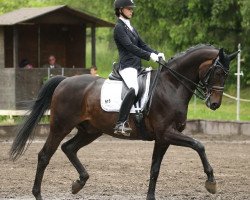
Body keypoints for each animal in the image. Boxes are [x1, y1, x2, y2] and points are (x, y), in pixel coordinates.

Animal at [10, 44, 237, 200]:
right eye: (218, 72)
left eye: (227, 74)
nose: (214, 104)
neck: (172, 85)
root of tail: (65, 80)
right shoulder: (167, 133)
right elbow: (199, 145)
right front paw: (211, 182)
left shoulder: (162, 138)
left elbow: (155, 168)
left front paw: (150, 196)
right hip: (60, 126)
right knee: (44, 156)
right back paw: (39, 193)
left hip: (90, 131)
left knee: (69, 148)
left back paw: (79, 183)